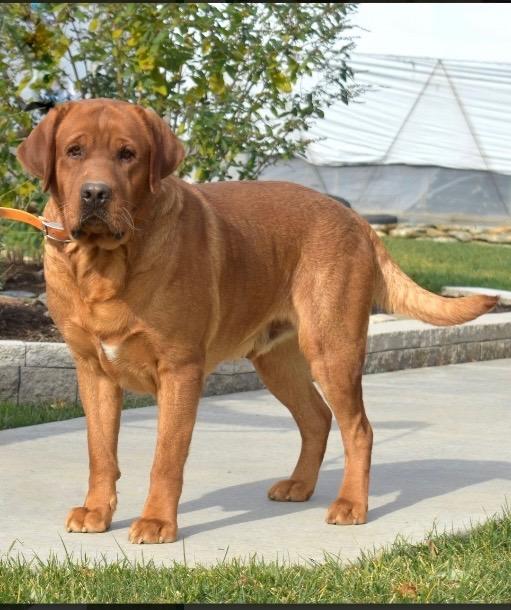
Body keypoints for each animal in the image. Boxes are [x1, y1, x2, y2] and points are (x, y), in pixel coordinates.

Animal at [16, 98, 497, 544]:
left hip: (332, 349)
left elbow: (166, 457)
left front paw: (157, 522)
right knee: (317, 418)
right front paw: (97, 511)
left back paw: (351, 504)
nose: (95, 193)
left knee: (358, 428)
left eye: (127, 154)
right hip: (277, 361)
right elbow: (100, 452)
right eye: (74, 151)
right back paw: (300, 485)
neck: (104, 265)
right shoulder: (92, 370)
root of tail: (357, 219)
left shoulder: (180, 369)